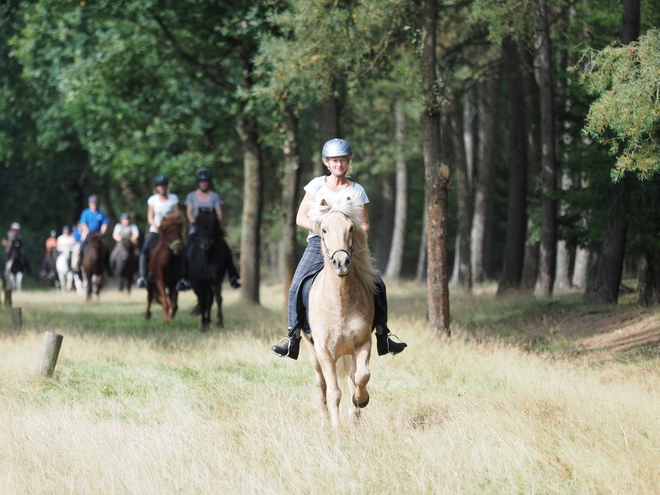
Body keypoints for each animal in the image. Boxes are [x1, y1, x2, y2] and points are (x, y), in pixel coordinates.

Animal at [304, 196, 376, 428]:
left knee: (353, 378)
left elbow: (361, 377)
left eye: (351, 228)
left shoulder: (363, 343)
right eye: (324, 230)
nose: (341, 263)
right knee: (321, 385)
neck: (340, 302)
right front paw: (336, 428)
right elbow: (334, 391)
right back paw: (324, 421)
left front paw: (360, 402)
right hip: (313, 353)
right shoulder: (324, 352)